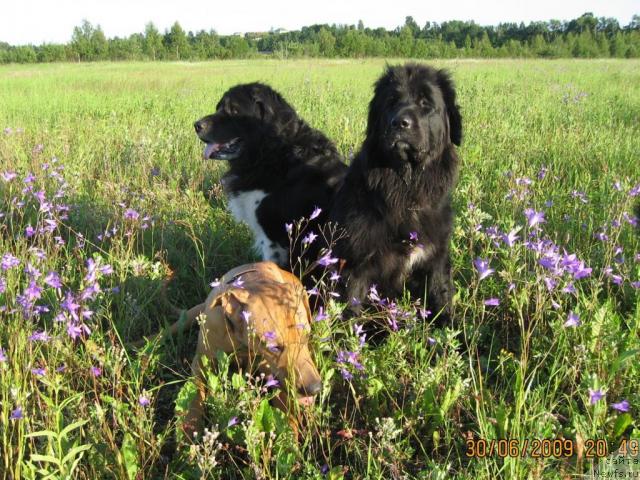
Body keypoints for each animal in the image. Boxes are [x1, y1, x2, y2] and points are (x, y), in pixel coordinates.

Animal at [144, 262, 320, 438]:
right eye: (274, 347)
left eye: (306, 336)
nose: (315, 388)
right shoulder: (201, 361)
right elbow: (194, 393)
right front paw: (189, 427)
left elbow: (286, 410)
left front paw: (288, 438)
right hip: (191, 315)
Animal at [330, 62, 460, 318]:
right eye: (391, 101)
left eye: (425, 102)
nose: (400, 123)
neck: (406, 189)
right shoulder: (356, 264)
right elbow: (351, 309)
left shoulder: (435, 260)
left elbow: (441, 299)